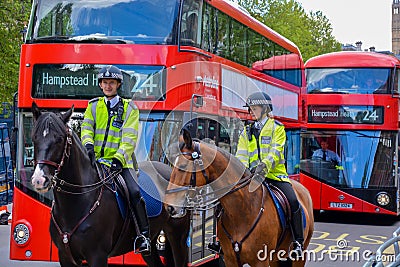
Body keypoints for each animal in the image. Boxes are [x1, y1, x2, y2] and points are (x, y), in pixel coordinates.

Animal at [29, 103, 189, 267]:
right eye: (34, 138)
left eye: (60, 139)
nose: (39, 179)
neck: (79, 201)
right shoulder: (66, 257)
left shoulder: (97, 255)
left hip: (178, 236)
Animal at [164, 129, 314, 266]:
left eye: (183, 166)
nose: (169, 207)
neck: (242, 210)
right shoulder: (231, 260)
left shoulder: (260, 262)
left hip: (300, 256)